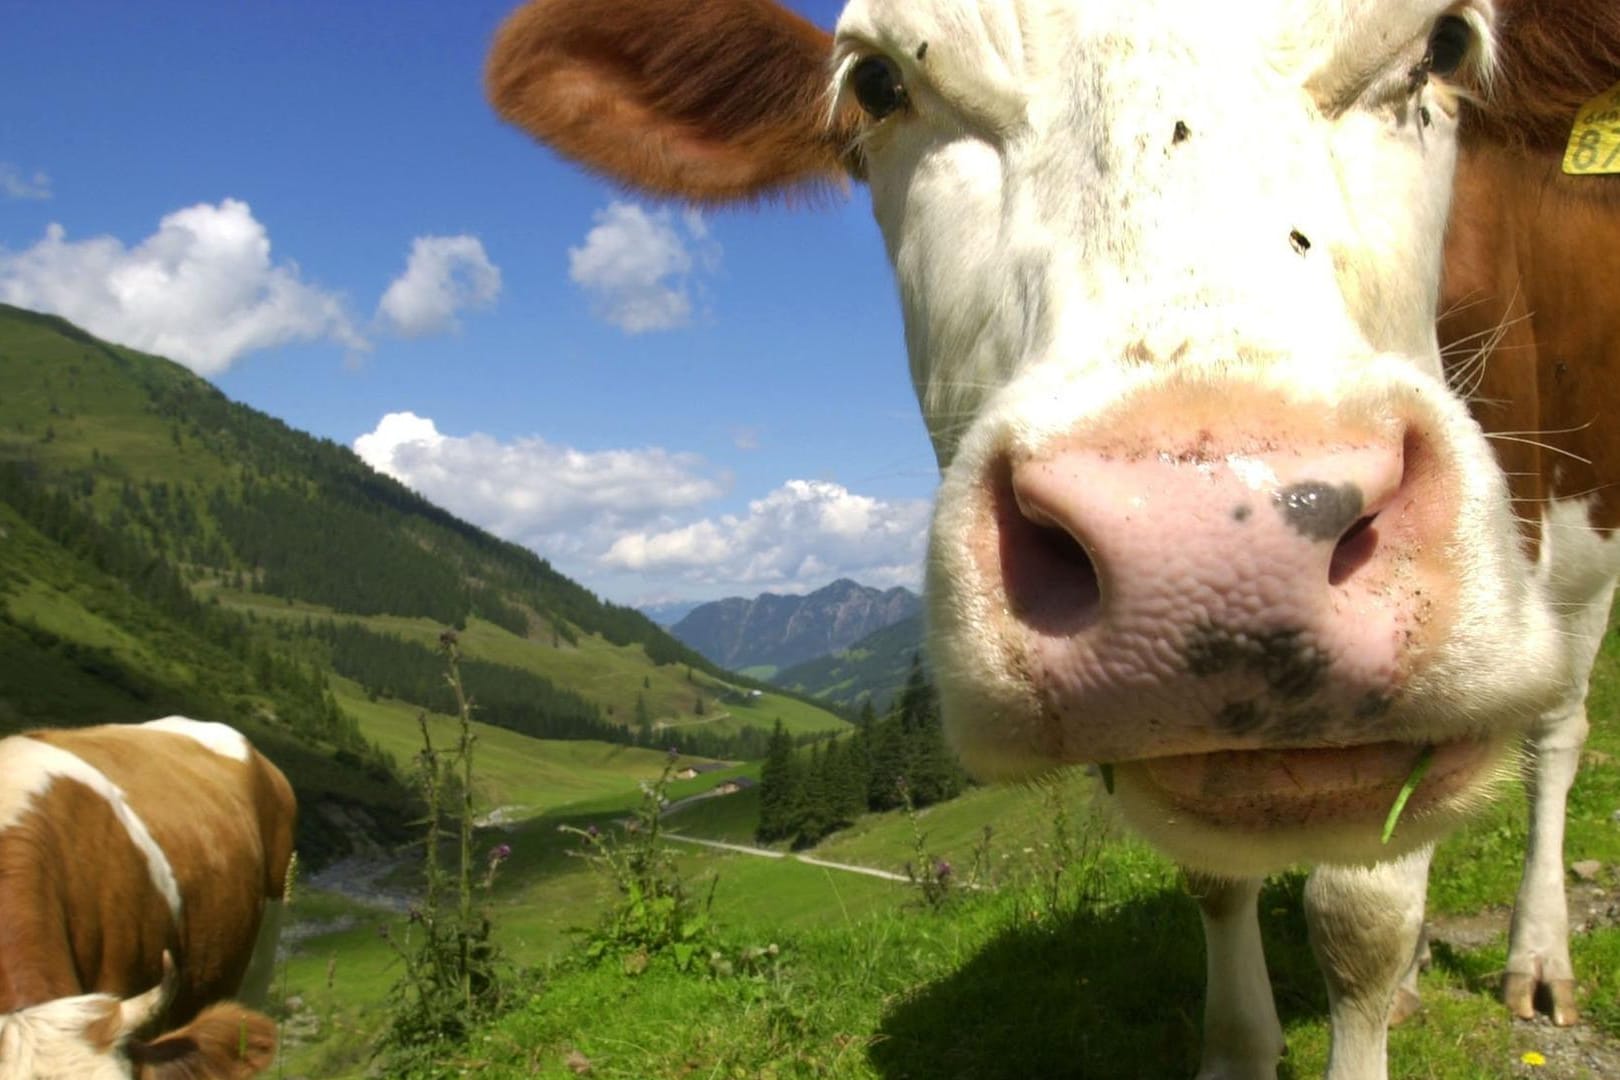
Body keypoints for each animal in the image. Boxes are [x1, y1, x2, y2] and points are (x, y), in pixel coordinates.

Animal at [486, 2, 1620, 1080]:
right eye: (878, 83)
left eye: (1447, 42)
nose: (1210, 542)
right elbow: (1213, 876)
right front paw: (1235, 1051)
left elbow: (1361, 922)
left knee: (1557, 736)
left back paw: (1538, 962)